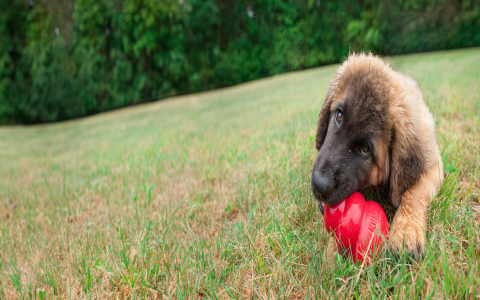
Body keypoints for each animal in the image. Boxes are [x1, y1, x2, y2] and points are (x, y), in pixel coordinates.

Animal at [312, 53, 442, 258]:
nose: (318, 186)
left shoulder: (433, 165)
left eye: (365, 149)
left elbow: (414, 192)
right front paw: (333, 249)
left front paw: (407, 229)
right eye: (339, 116)